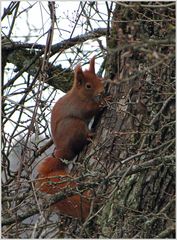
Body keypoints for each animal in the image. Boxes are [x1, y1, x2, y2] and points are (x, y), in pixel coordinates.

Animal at [36, 55, 104, 219]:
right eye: (88, 86)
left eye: (99, 79)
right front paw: (104, 102)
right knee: (82, 139)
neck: (80, 95)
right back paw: (90, 135)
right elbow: (90, 110)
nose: (102, 90)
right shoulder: (79, 107)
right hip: (75, 126)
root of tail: (63, 150)